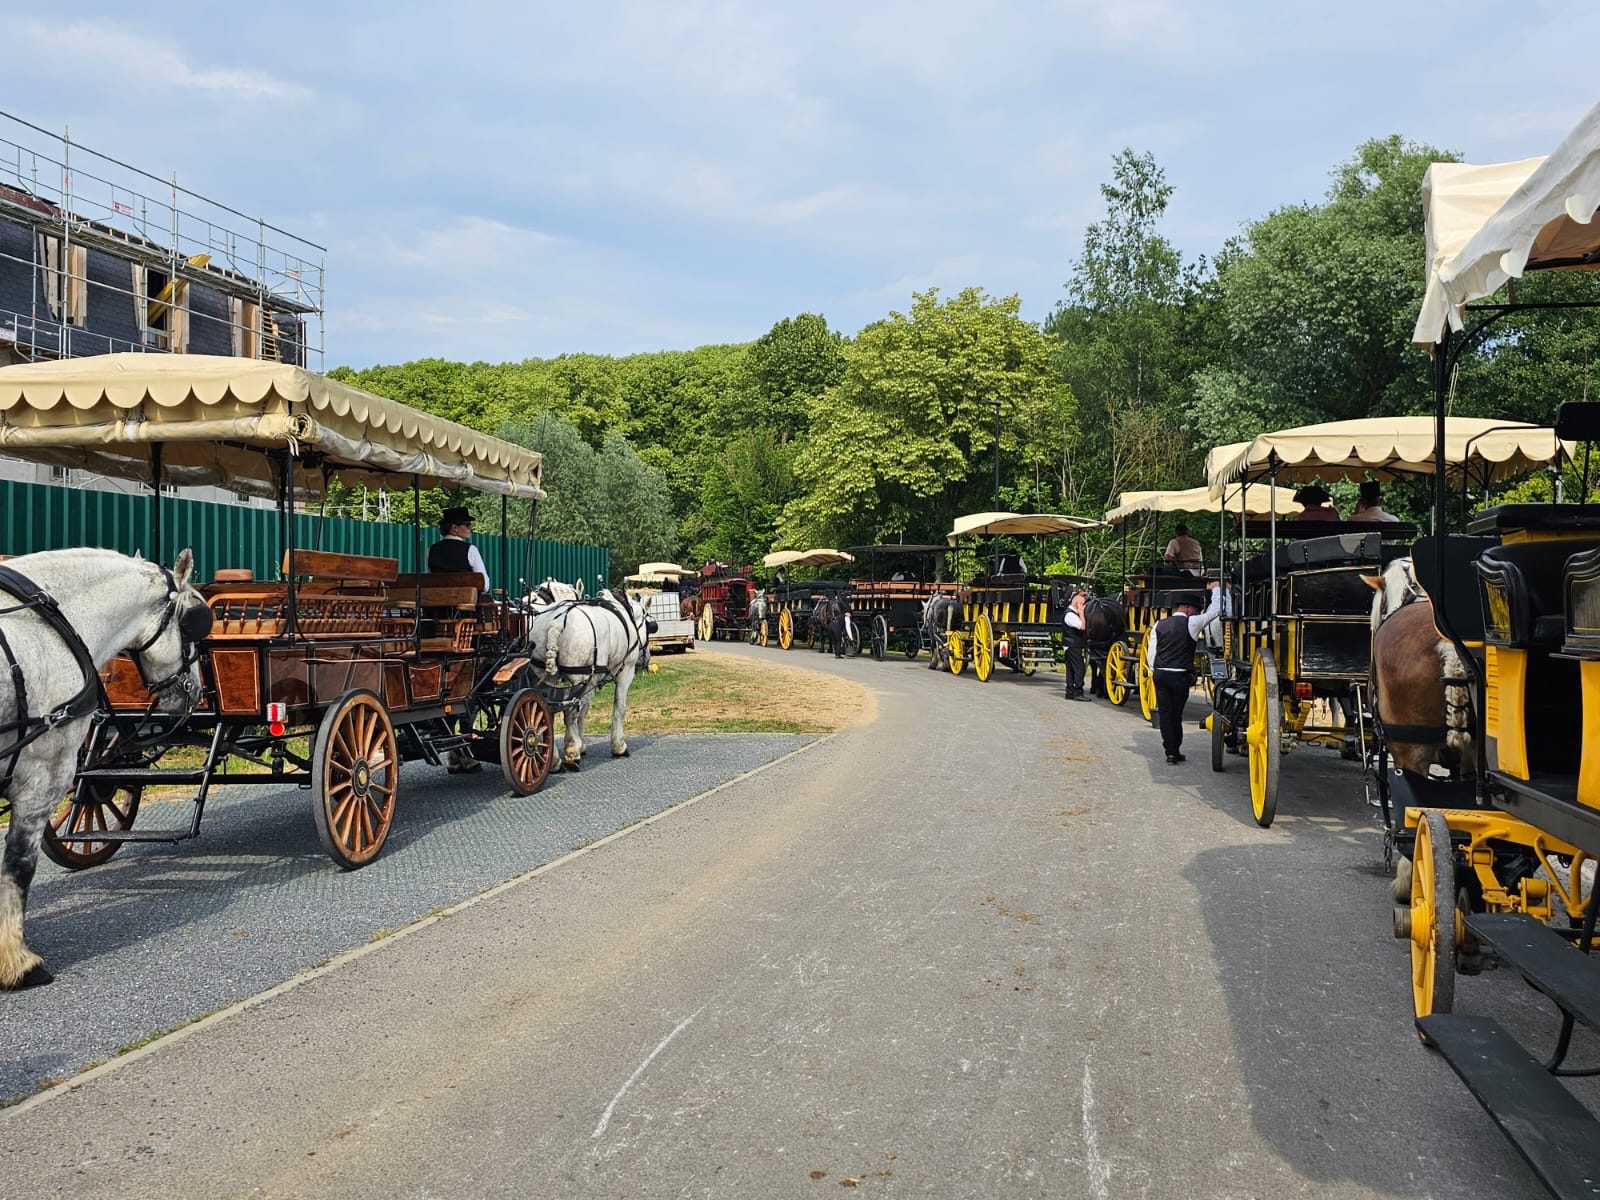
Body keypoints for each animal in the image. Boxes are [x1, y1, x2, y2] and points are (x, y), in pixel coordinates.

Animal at [521, 588, 652, 771]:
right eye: (650, 626)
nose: (646, 658)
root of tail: (557, 621)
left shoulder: (591, 680)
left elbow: (583, 711)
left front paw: (581, 744)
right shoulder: (624, 673)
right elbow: (618, 709)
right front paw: (618, 747)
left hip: (544, 675)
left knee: (547, 711)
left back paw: (554, 758)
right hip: (579, 677)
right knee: (569, 712)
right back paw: (571, 753)